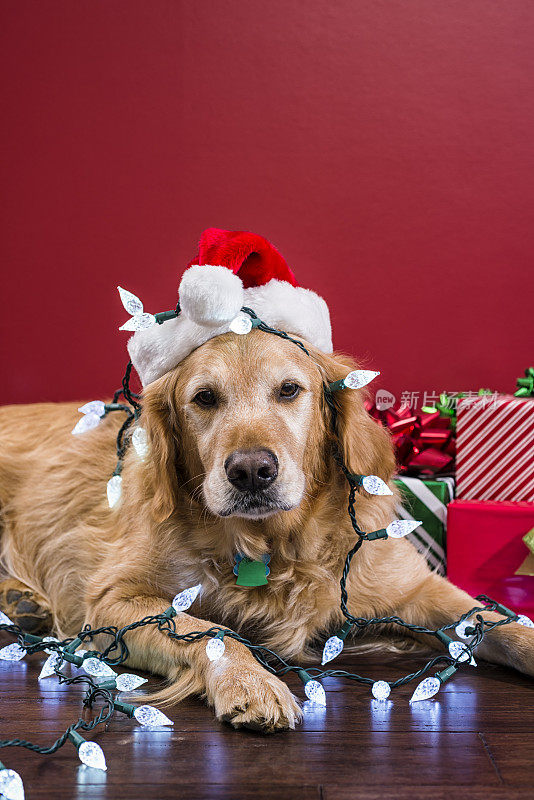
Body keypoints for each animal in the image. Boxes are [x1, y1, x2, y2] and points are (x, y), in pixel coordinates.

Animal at [1, 332, 534, 732]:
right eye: (205, 398)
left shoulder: (415, 587)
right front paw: (250, 682)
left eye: (289, 390)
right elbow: (211, 631)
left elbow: (500, 623)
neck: (271, 547)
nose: (252, 471)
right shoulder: (112, 600)